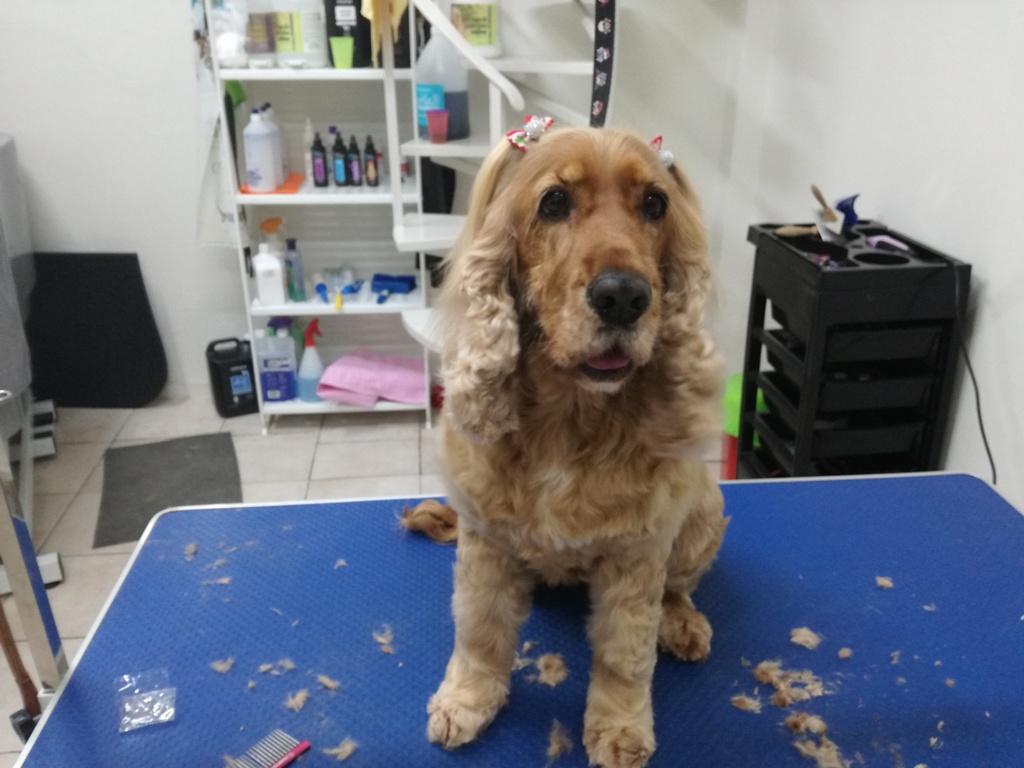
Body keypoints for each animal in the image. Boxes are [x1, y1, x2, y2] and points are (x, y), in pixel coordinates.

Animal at [417, 123, 727, 768]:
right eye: (554, 202)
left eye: (654, 204)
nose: (623, 297)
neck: (570, 417)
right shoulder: (485, 537)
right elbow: (479, 629)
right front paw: (467, 699)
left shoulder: (639, 551)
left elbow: (626, 653)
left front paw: (621, 728)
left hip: (703, 514)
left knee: (679, 589)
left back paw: (683, 623)